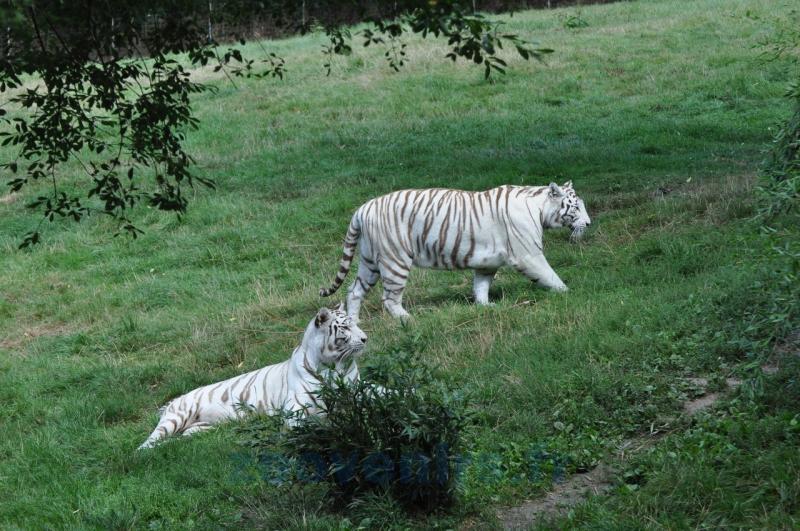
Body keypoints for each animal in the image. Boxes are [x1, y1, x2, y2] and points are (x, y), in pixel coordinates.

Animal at [138, 305, 366, 449]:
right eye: (346, 327)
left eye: (356, 323)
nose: (365, 338)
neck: (334, 366)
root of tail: (173, 400)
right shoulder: (295, 410)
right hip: (177, 416)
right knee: (147, 444)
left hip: (200, 429)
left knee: (178, 439)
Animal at [319, 181, 591, 321]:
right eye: (575, 207)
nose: (588, 223)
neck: (539, 208)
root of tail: (362, 209)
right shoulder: (528, 255)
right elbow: (550, 275)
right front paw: (569, 293)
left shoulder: (487, 261)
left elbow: (481, 285)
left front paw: (485, 306)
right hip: (394, 260)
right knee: (388, 298)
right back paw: (408, 319)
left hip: (370, 261)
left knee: (354, 291)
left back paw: (354, 324)